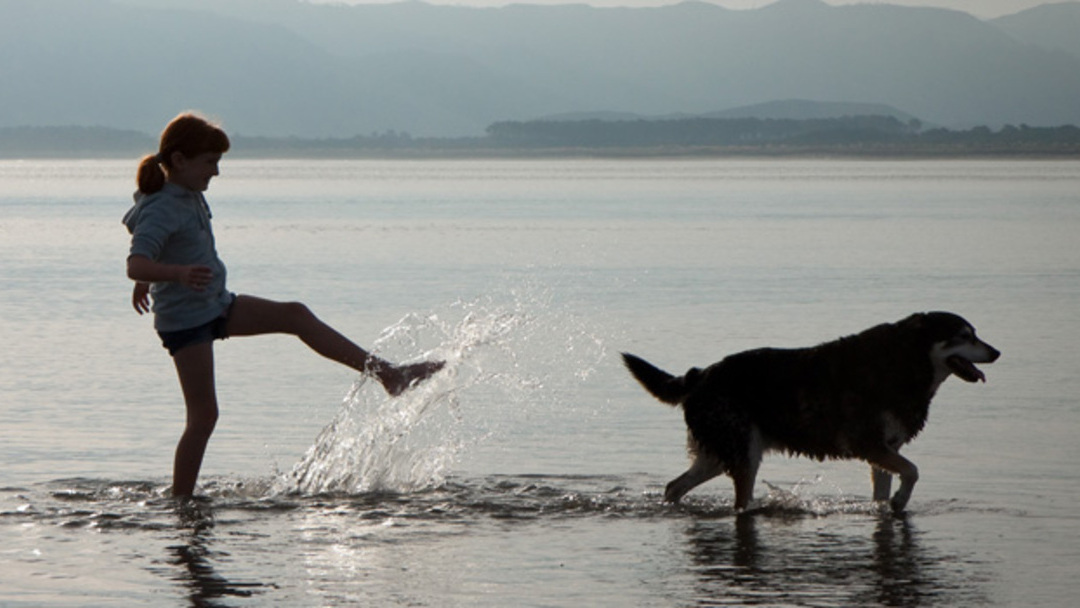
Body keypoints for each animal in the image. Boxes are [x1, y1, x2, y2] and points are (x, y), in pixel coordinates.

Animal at [622, 313, 997, 514]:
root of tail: (699, 375)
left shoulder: (884, 450)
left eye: (975, 334)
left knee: (674, 486)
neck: (906, 360)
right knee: (736, 500)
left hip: (721, 453)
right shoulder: (868, 444)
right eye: (965, 335)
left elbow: (889, 485)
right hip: (743, 453)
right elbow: (914, 471)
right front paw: (900, 500)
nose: (996, 352)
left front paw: (888, 507)